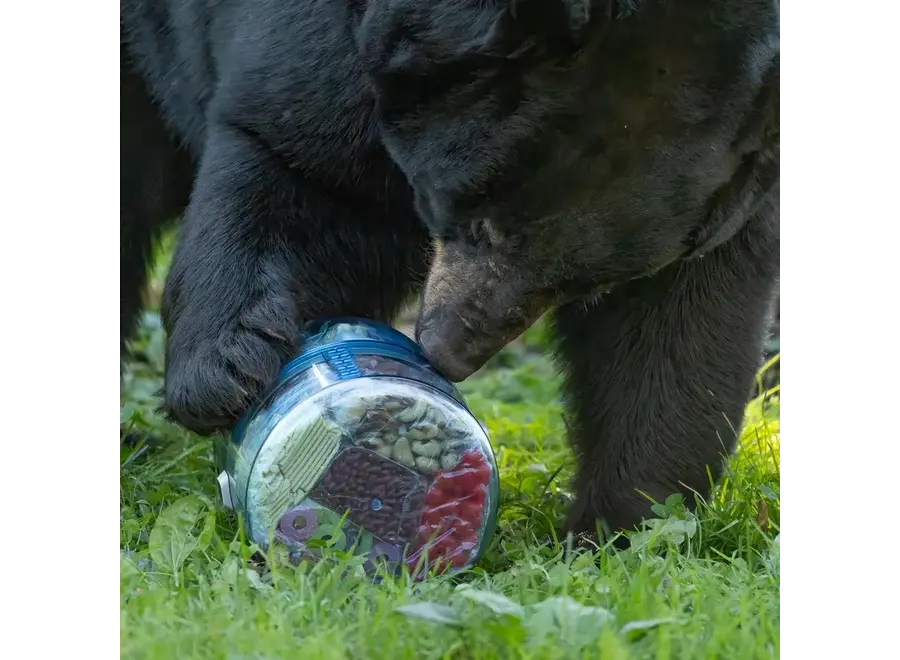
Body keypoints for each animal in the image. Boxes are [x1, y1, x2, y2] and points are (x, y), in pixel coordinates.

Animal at [119, 0, 783, 543]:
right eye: (479, 220)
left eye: (582, 282)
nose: (444, 352)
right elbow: (290, 158)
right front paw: (222, 373)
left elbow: (675, 328)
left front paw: (620, 527)